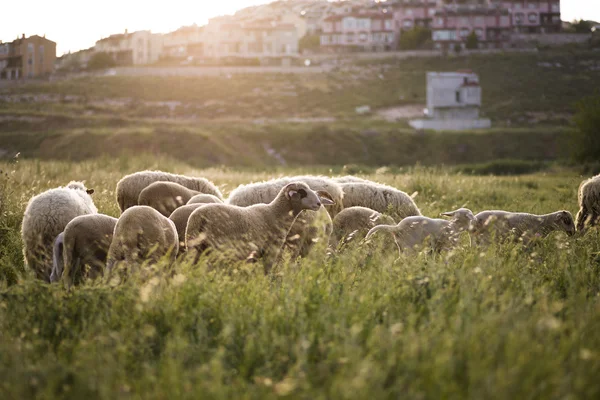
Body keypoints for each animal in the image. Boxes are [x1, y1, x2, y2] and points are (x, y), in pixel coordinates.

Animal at [186, 182, 332, 272]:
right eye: (302, 192)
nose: (319, 204)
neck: (275, 213)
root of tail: (198, 217)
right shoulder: (270, 250)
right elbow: (267, 272)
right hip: (215, 249)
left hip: (196, 248)